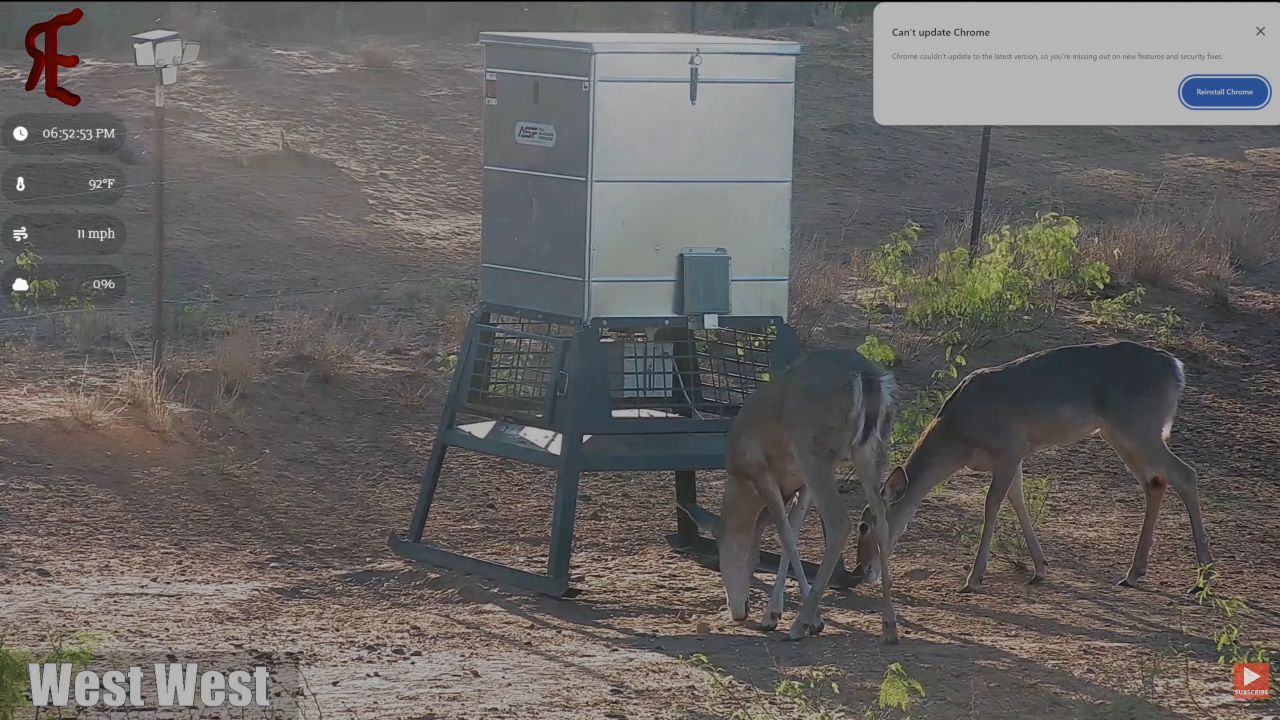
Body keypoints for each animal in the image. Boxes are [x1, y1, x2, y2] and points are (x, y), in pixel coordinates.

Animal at [702, 348, 900, 642]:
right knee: (881, 516)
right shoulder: (801, 485)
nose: (738, 611)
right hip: (872, 450)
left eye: (719, 548)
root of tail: (868, 380)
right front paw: (772, 615)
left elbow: (784, 534)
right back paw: (889, 625)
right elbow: (791, 535)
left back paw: (798, 626)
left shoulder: (762, 471)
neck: (741, 479)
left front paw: (812, 621)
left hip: (813, 449)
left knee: (840, 521)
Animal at [850, 340, 1214, 599]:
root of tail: (1177, 368)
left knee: (1186, 474)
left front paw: (973, 578)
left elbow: (992, 504)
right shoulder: (1016, 456)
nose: (860, 571)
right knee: (1155, 482)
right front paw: (1040, 569)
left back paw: (1203, 579)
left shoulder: (1009, 448)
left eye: (865, 525)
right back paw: (1133, 573)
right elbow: (1018, 500)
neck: (959, 433)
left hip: (1139, 428)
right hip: (1119, 434)